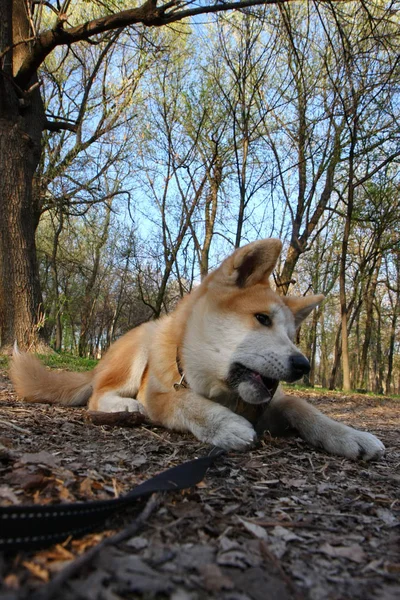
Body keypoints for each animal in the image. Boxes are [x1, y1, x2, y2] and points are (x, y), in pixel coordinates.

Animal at [9, 239, 384, 460]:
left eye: (293, 335)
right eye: (262, 319)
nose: (303, 364)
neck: (222, 391)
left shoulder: (272, 404)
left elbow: (306, 409)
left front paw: (349, 435)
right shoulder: (161, 393)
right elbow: (187, 402)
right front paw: (226, 425)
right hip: (142, 345)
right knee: (98, 394)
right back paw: (126, 405)